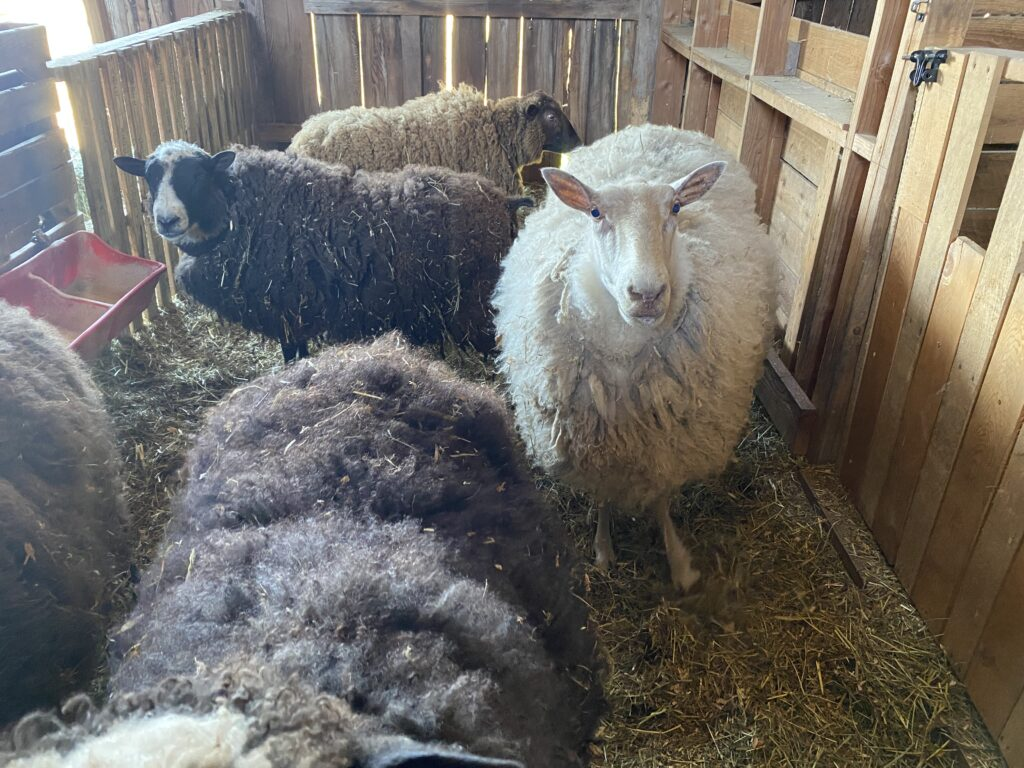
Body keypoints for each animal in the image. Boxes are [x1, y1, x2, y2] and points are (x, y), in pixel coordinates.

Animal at [113, 141, 532, 362]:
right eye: (149, 176)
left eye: (197, 175)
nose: (166, 220)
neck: (236, 213)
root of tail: (505, 199)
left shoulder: (286, 313)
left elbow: (292, 359)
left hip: (477, 305)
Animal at [491, 124, 776, 593]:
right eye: (594, 213)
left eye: (675, 207)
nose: (646, 294)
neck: (625, 350)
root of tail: (655, 128)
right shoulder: (594, 442)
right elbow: (604, 493)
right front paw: (604, 551)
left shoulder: (667, 441)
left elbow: (661, 497)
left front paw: (679, 562)